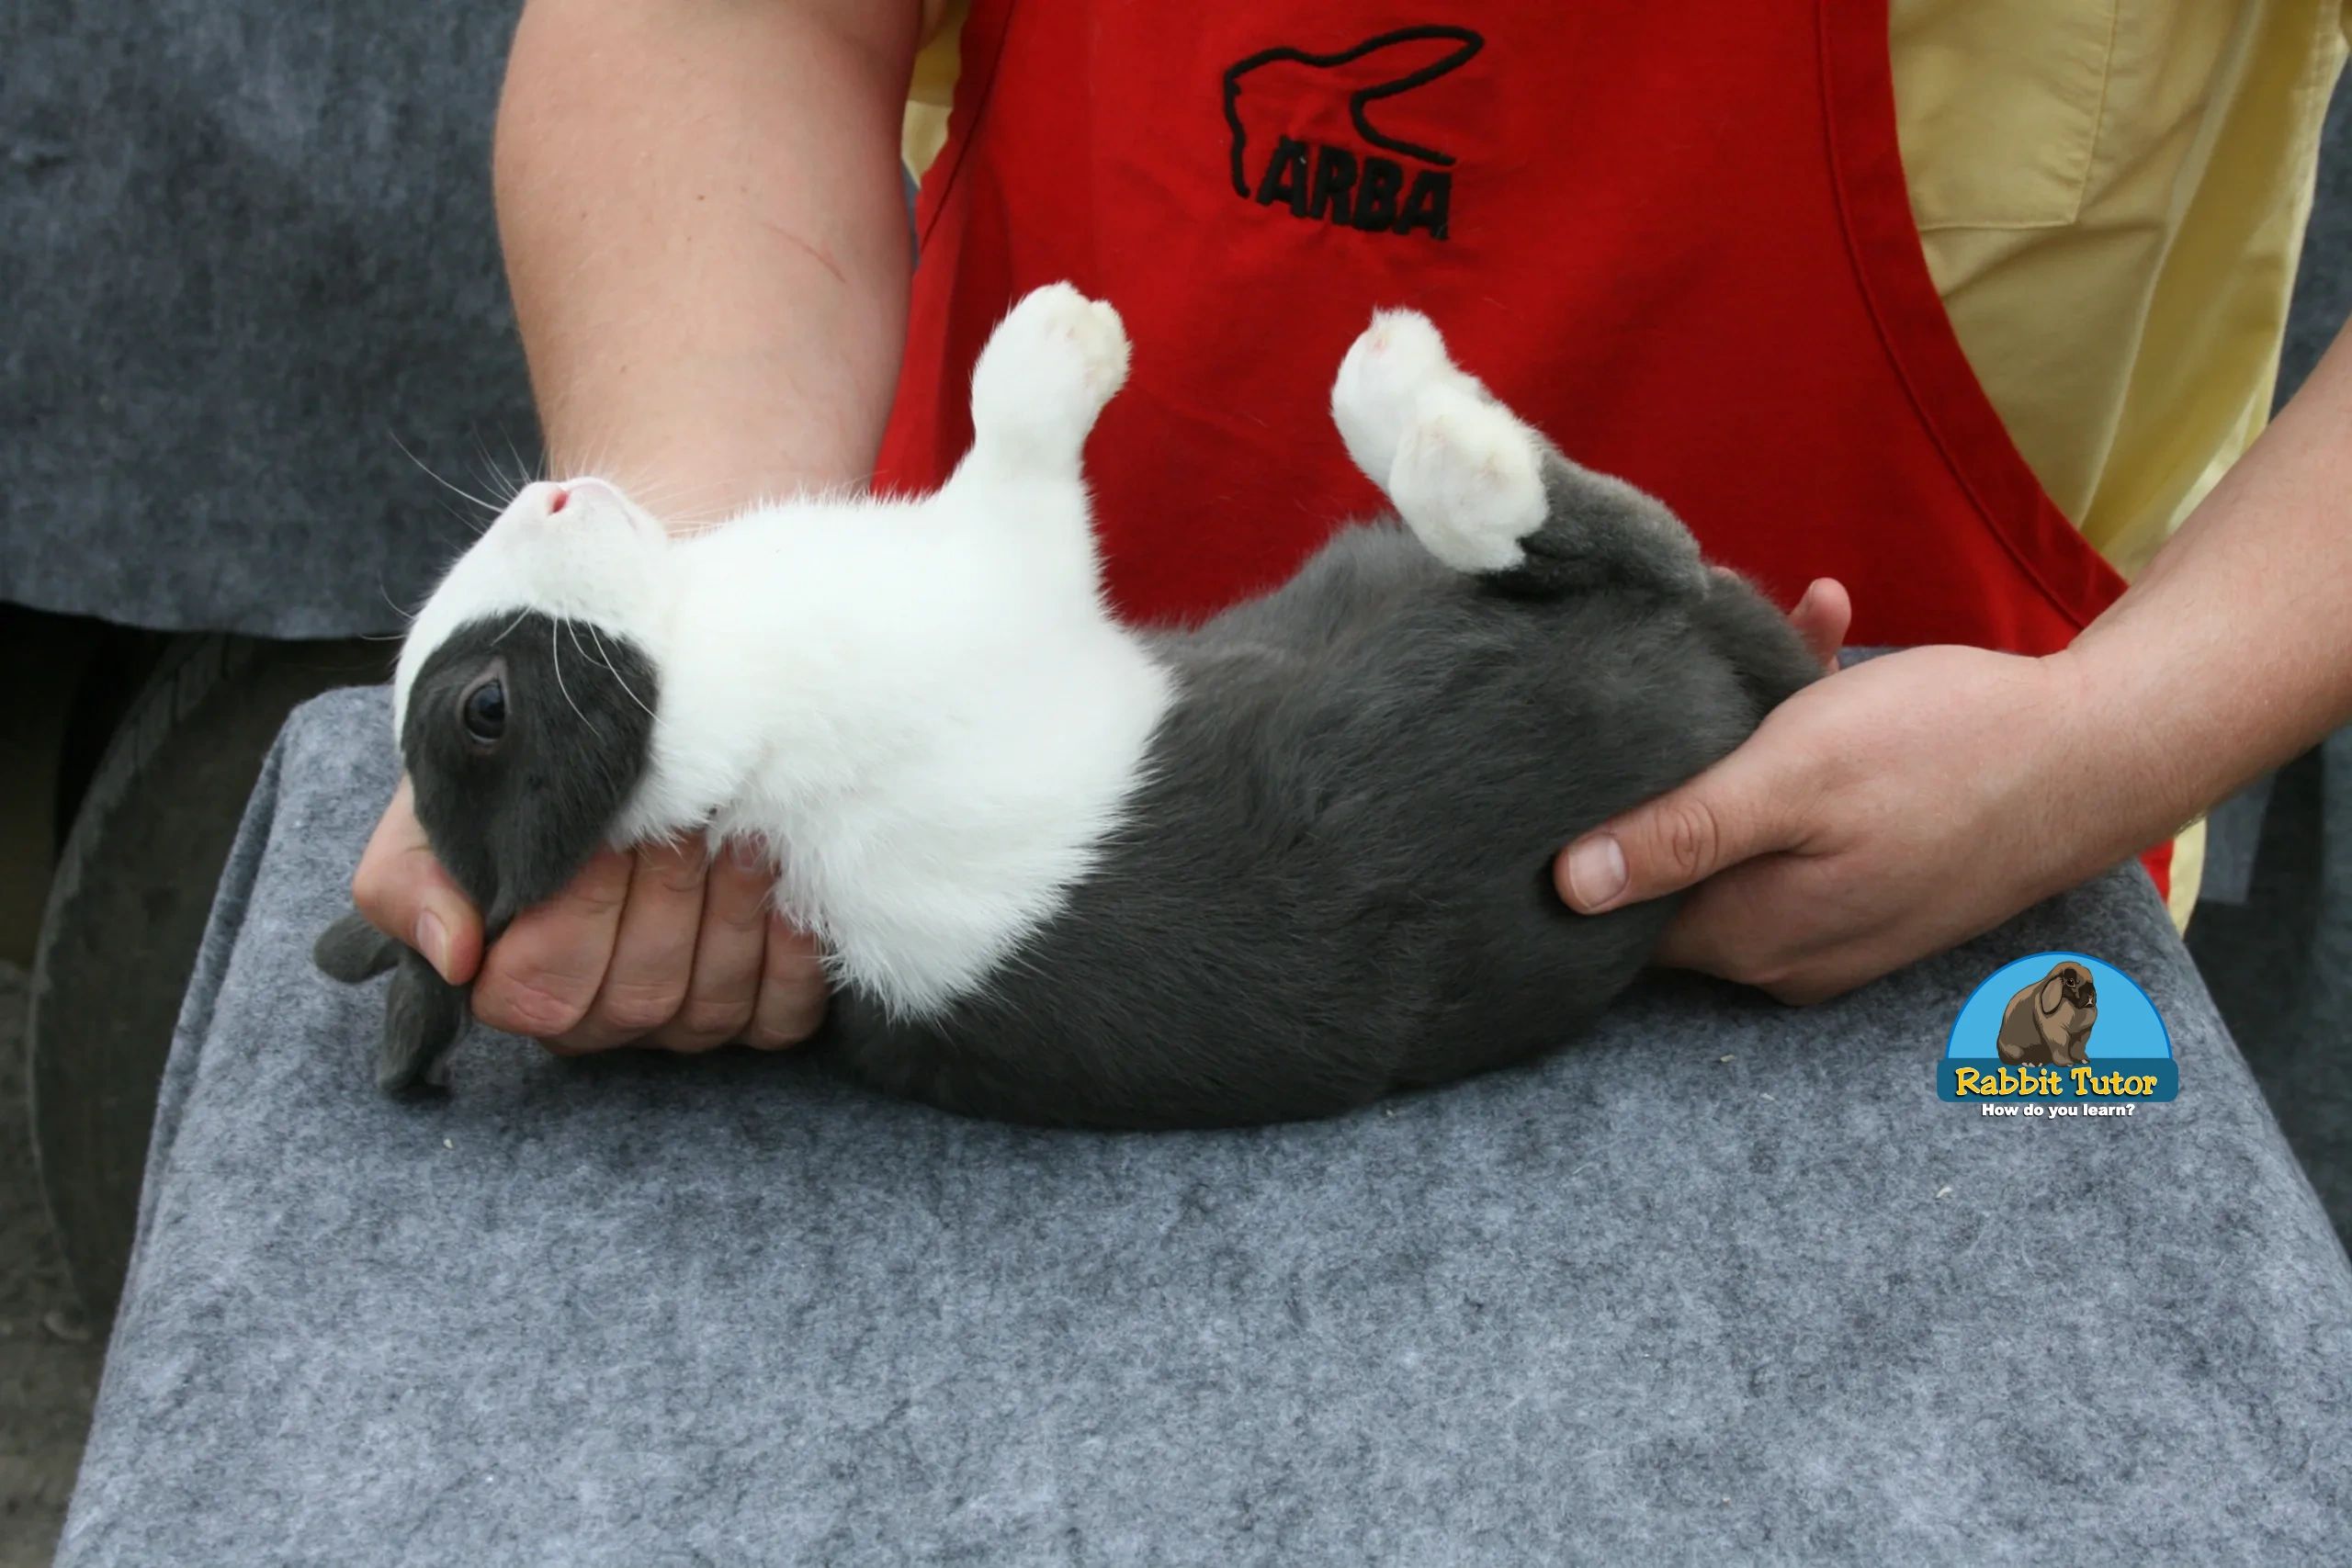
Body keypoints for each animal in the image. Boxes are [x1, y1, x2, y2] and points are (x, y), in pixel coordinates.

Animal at [316, 284, 1822, 1127]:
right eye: (487, 710)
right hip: (1585, 614)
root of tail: (1742, 674)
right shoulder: (1007, 566)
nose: (553, 494)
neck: (697, 689)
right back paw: (1420, 411)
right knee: (1594, 533)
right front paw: (1067, 333)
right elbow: (1018, 438)